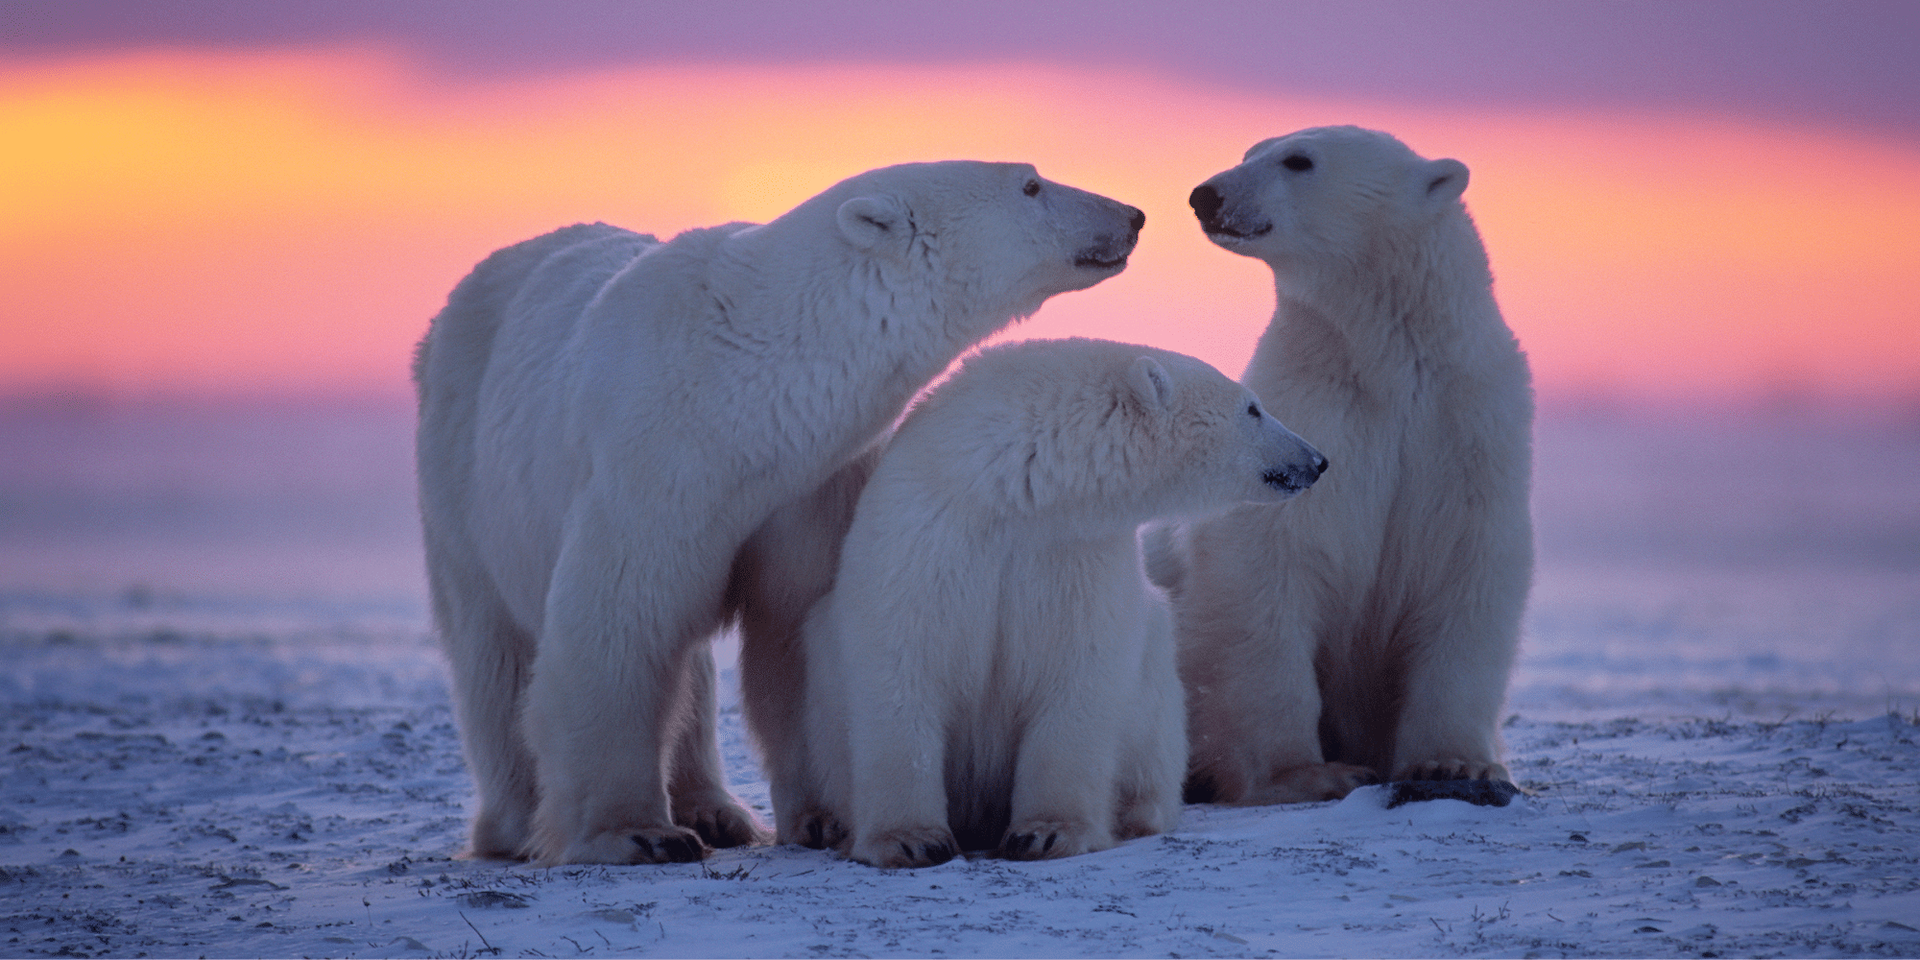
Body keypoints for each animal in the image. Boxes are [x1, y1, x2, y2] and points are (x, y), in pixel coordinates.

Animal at [413, 161, 1144, 865]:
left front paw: (823, 818)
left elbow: (797, 627)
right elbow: (619, 624)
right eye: (1031, 184)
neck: (743, 389)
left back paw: (718, 811)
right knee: (493, 650)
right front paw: (637, 835)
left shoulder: (810, 484)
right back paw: (515, 824)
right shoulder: (650, 463)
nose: (1132, 214)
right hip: (461, 473)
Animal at [786, 337, 1328, 868]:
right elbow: (901, 664)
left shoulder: (1074, 553)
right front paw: (911, 840)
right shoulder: (928, 533)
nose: (1317, 460)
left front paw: (1045, 833)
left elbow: (1077, 672)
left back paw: (1134, 812)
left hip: (1155, 692)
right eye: (1253, 407)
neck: (1014, 491)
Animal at [1153, 126, 1534, 805]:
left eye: (1298, 160)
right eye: (1250, 151)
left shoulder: (1467, 430)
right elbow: (1267, 569)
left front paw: (1454, 764)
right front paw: (1310, 772)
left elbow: (1469, 571)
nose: (1206, 194)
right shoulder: (1313, 420)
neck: (1388, 364)